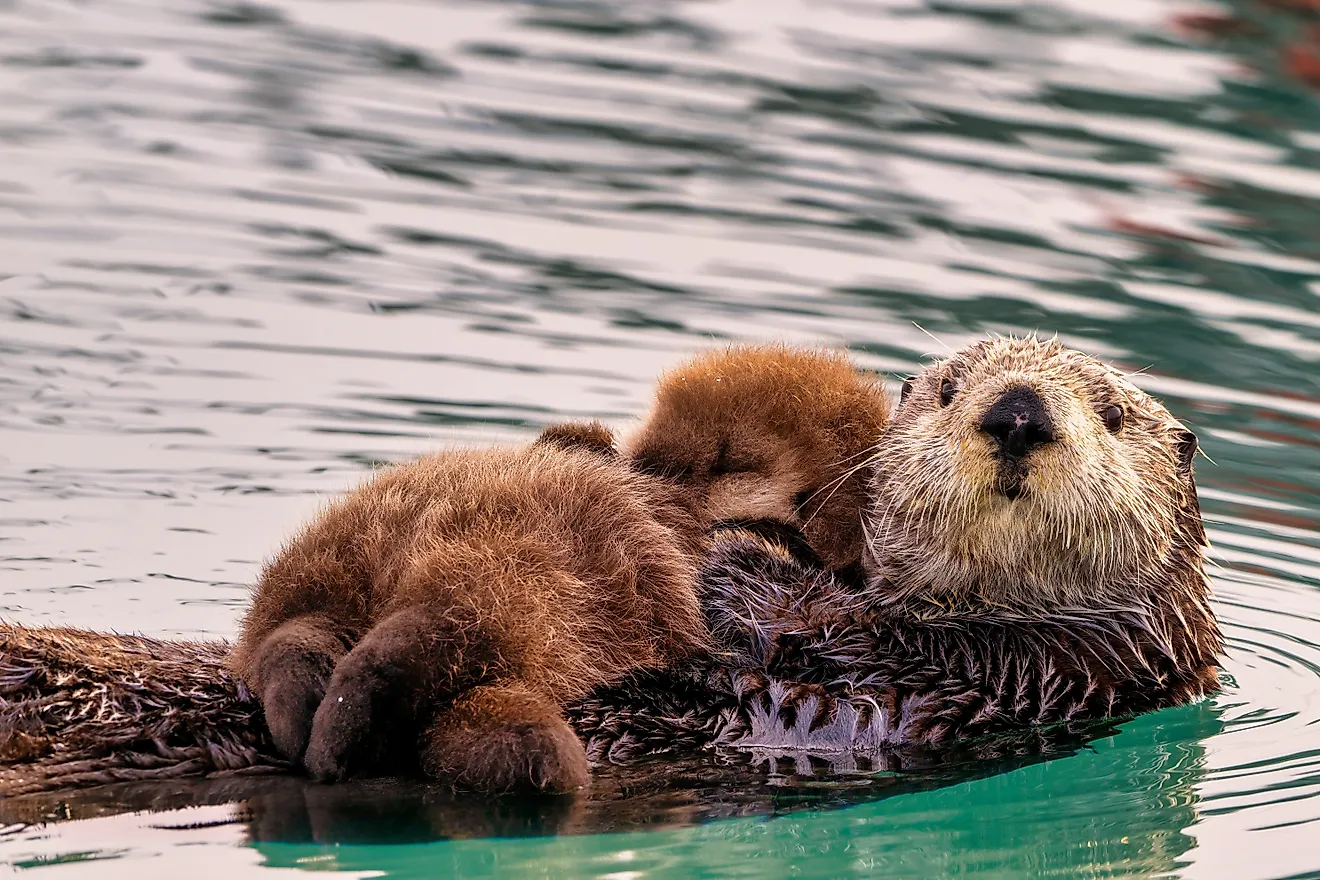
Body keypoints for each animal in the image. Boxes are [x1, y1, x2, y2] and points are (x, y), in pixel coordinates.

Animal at [229, 344, 890, 793]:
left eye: (729, 460)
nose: (644, 464)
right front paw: (584, 441)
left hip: (509, 589)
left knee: (412, 638)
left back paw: (325, 722)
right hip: (366, 561)